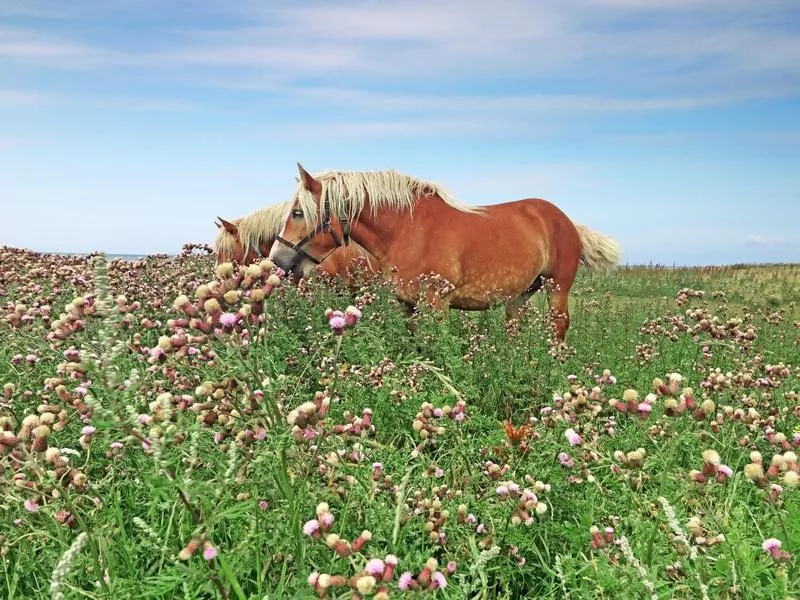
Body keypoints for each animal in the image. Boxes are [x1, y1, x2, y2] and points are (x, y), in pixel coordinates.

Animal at [272, 164, 620, 342]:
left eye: (298, 213)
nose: (277, 260)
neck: (407, 229)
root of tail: (566, 220)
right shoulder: (408, 305)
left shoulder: (436, 304)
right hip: (520, 295)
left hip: (557, 288)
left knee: (559, 328)